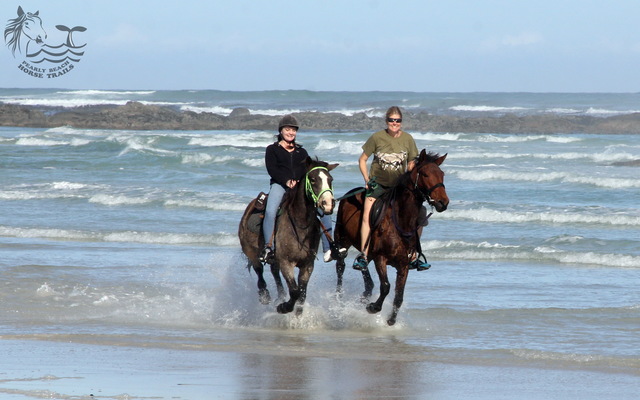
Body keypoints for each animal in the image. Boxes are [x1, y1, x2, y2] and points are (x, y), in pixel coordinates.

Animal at [239, 157, 338, 315]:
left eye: (330, 179)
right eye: (313, 179)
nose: (328, 204)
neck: (300, 224)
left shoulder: (307, 265)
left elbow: (302, 293)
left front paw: (297, 313)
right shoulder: (286, 262)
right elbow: (295, 291)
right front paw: (284, 307)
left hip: (274, 259)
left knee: (274, 272)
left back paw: (280, 296)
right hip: (251, 252)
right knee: (259, 271)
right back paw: (265, 296)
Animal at [334, 150, 449, 325]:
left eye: (441, 174)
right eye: (425, 174)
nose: (443, 202)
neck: (401, 221)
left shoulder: (403, 265)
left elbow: (399, 296)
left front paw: (391, 319)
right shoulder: (381, 258)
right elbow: (386, 286)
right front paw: (373, 307)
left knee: (364, 267)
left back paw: (365, 291)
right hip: (343, 240)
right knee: (340, 266)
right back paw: (339, 299)